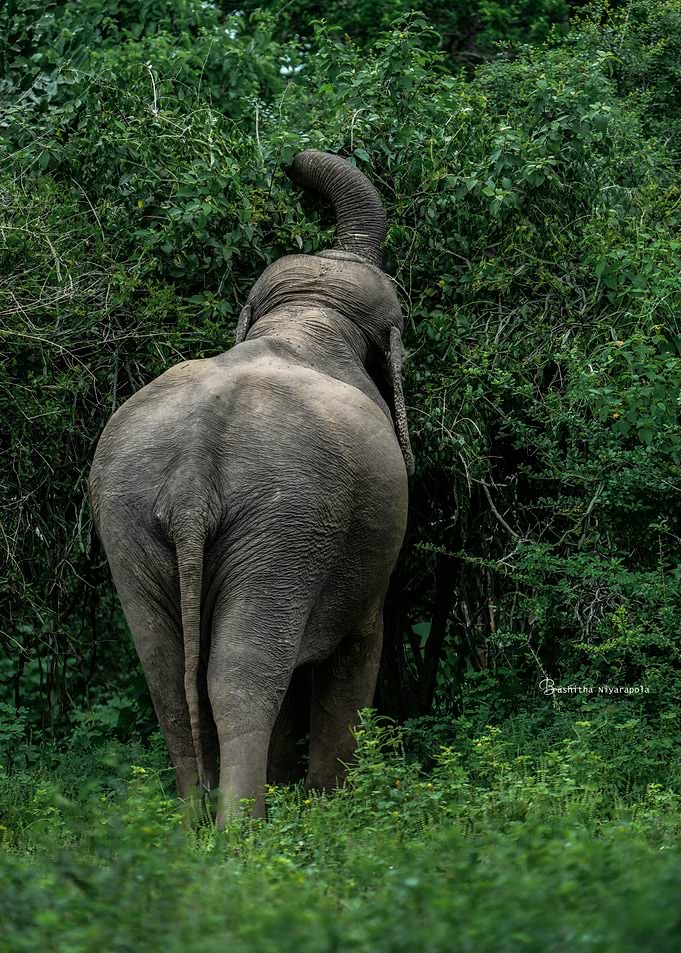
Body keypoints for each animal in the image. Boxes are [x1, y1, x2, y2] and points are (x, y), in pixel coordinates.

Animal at [89, 149, 413, 824]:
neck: (307, 317)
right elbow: (356, 648)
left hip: (131, 521)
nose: (292, 161)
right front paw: (329, 806)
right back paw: (244, 832)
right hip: (284, 526)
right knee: (242, 674)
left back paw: (193, 826)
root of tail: (191, 482)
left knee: (166, 672)